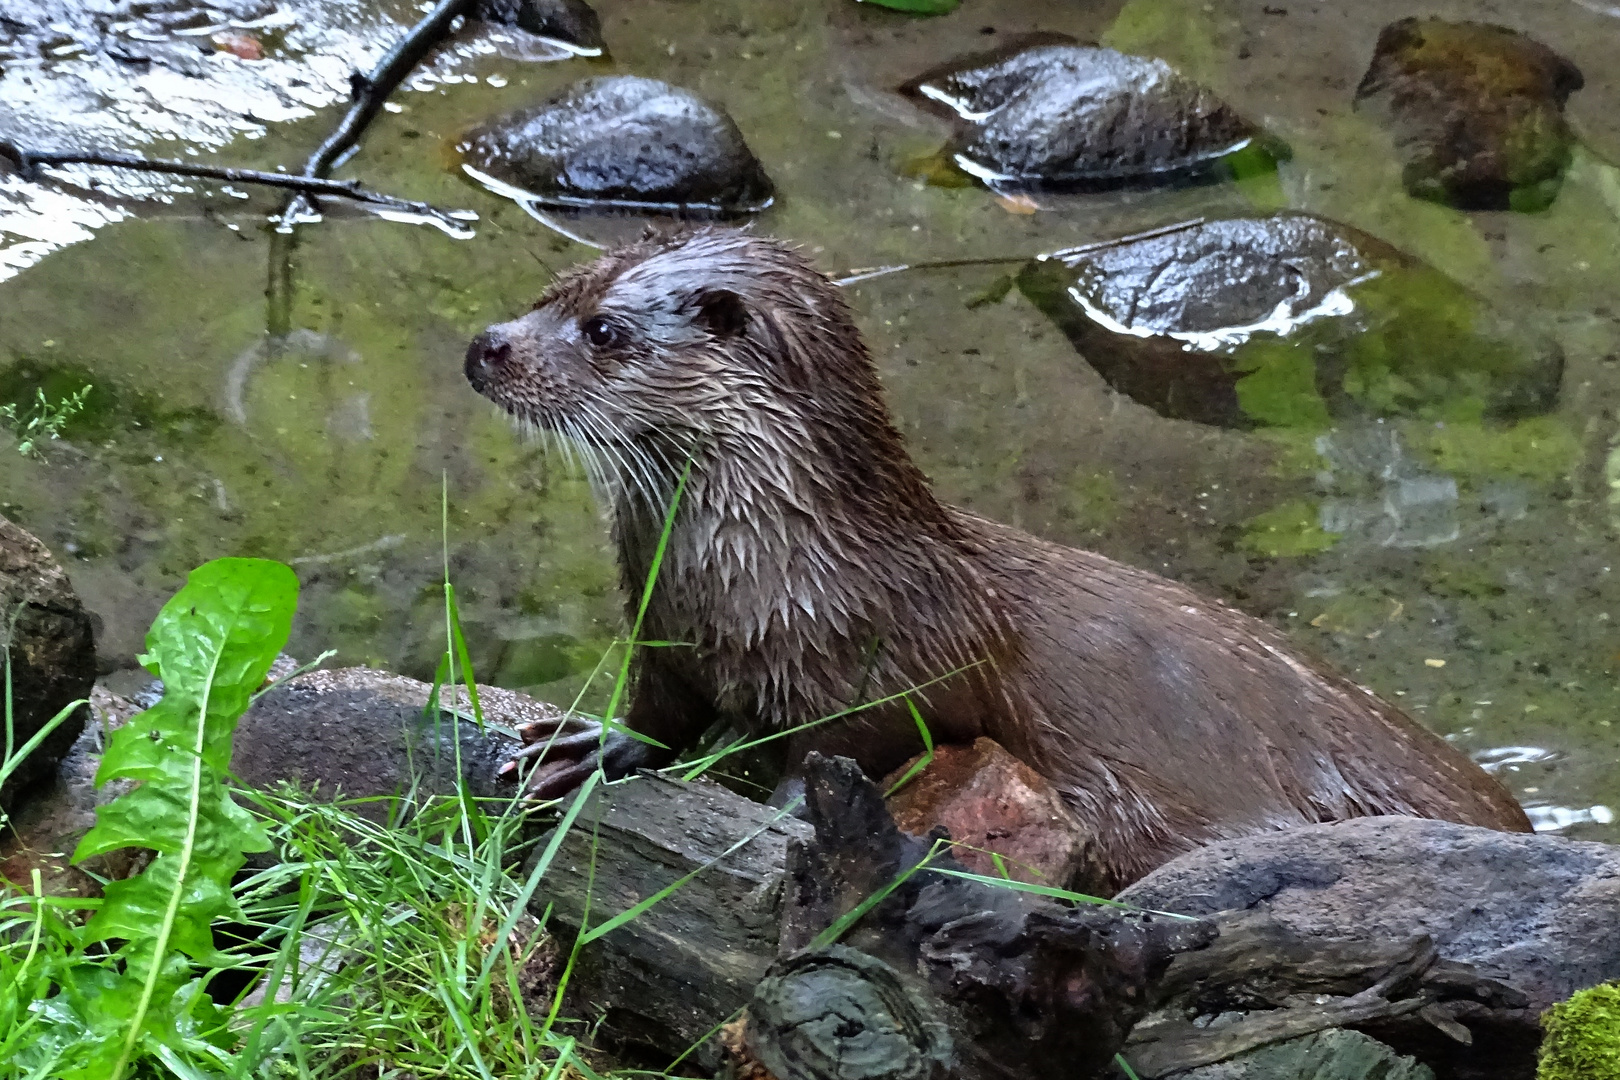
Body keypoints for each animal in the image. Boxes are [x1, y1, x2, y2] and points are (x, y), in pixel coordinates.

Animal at [466, 226, 1529, 887]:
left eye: (605, 331)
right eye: (549, 294)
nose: (486, 344)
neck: (771, 570)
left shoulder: (890, 661)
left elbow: (853, 747)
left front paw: (774, 814)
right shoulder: (665, 630)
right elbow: (660, 712)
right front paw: (584, 747)